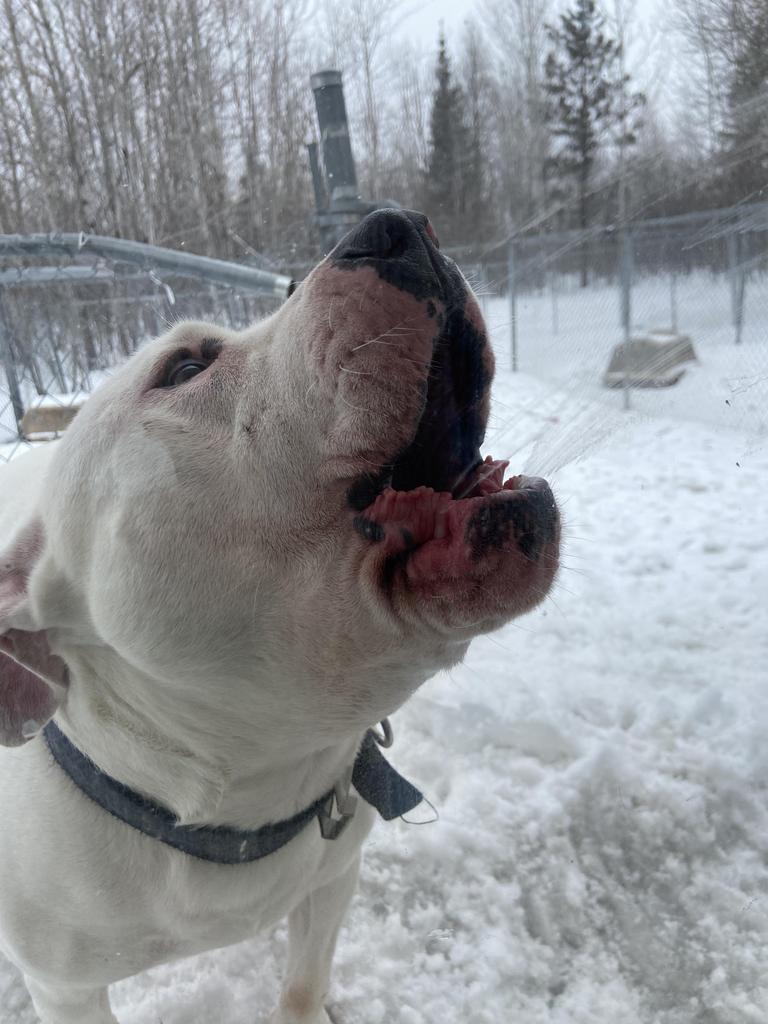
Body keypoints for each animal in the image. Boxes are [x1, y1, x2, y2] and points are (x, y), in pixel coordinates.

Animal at [0, 209, 557, 1024]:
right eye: (185, 369)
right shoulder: (65, 988)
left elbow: (303, 983)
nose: (395, 225)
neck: (238, 791)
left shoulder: (332, 883)